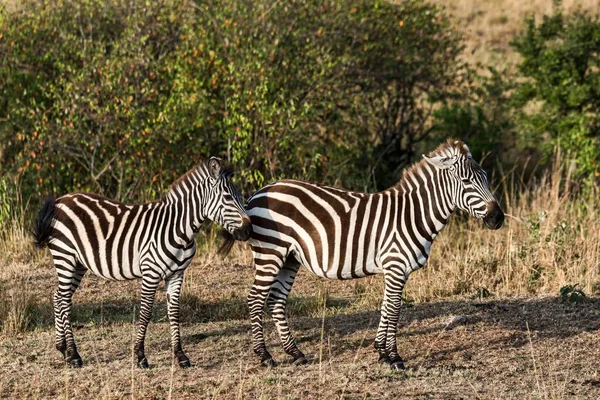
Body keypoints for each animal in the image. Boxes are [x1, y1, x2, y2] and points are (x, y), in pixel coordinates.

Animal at [35, 156, 251, 368]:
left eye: (239, 196)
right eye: (228, 197)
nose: (247, 229)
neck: (178, 229)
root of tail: (60, 200)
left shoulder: (176, 274)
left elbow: (174, 312)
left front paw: (180, 355)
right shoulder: (150, 273)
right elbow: (146, 313)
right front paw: (140, 356)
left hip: (78, 263)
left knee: (58, 297)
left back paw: (63, 350)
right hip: (65, 257)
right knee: (64, 301)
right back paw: (74, 355)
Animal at [219, 141, 502, 372]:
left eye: (486, 178)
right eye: (466, 182)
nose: (498, 218)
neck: (413, 214)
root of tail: (261, 190)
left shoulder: (396, 269)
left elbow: (387, 307)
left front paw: (382, 352)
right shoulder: (395, 265)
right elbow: (394, 308)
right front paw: (394, 357)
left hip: (289, 258)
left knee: (276, 300)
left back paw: (295, 353)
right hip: (271, 251)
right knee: (256, 299)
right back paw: (265, 356)